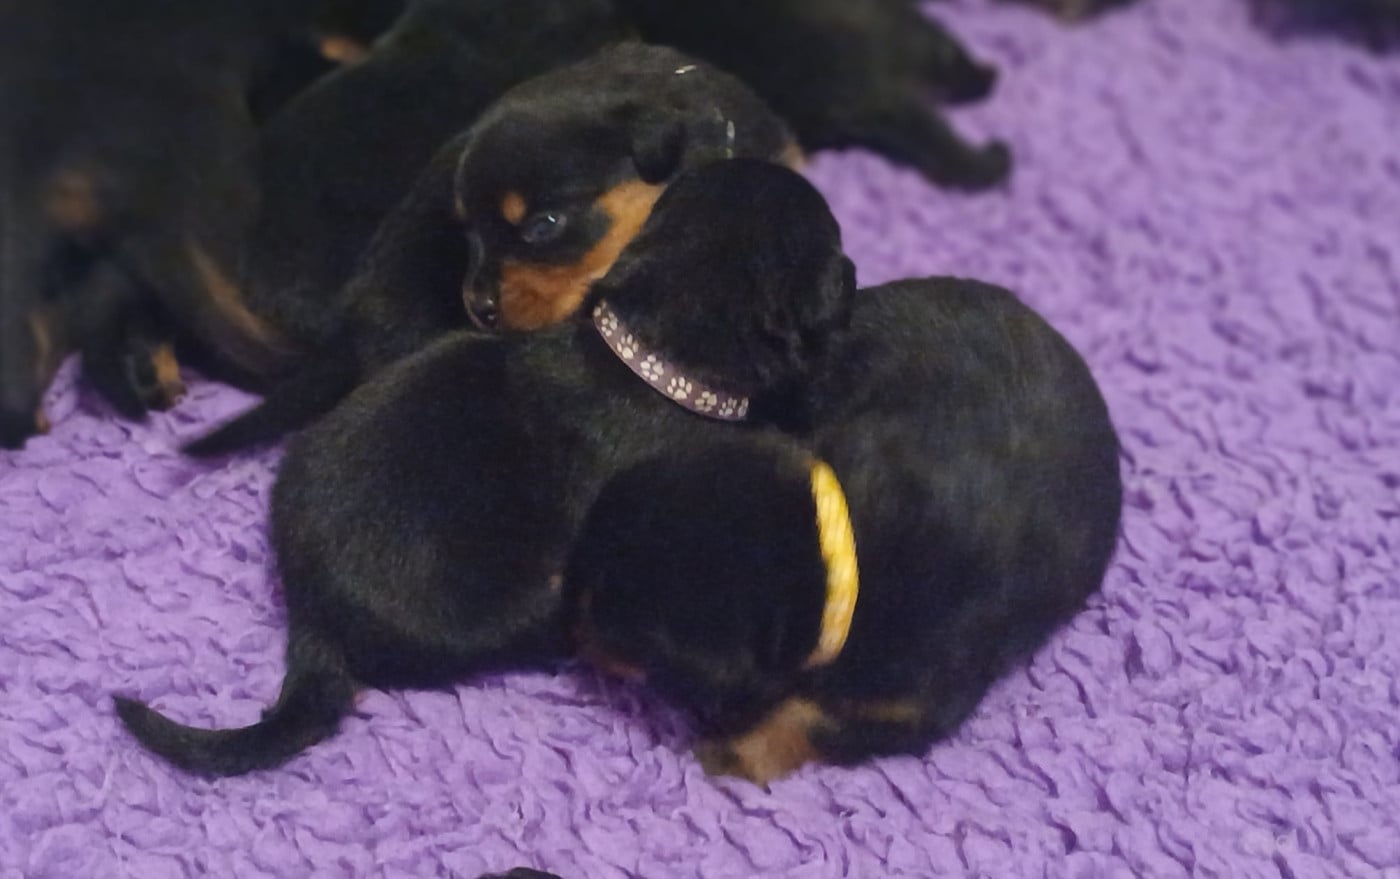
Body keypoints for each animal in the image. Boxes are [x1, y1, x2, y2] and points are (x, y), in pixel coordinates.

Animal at [567, 277, 1123, 785]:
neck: (833, 559)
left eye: (614, 613)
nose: (569, 635)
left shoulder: (906, 702)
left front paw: (733, 753)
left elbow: (809, 719)